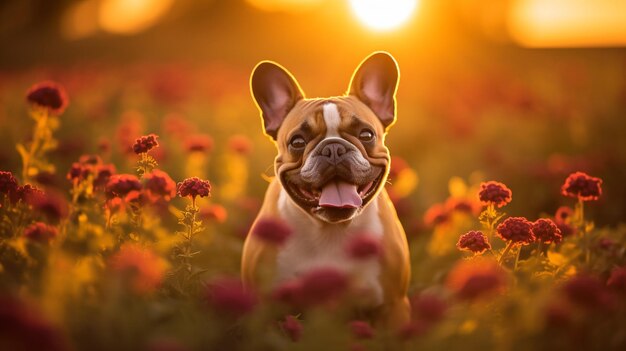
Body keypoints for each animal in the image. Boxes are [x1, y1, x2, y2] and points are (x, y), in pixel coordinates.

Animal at [240, 52, 410, 330]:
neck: (332, 231)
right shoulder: (264, 308)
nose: (333, 148)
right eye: (297, 142)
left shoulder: (393, 307)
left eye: (366, 135)